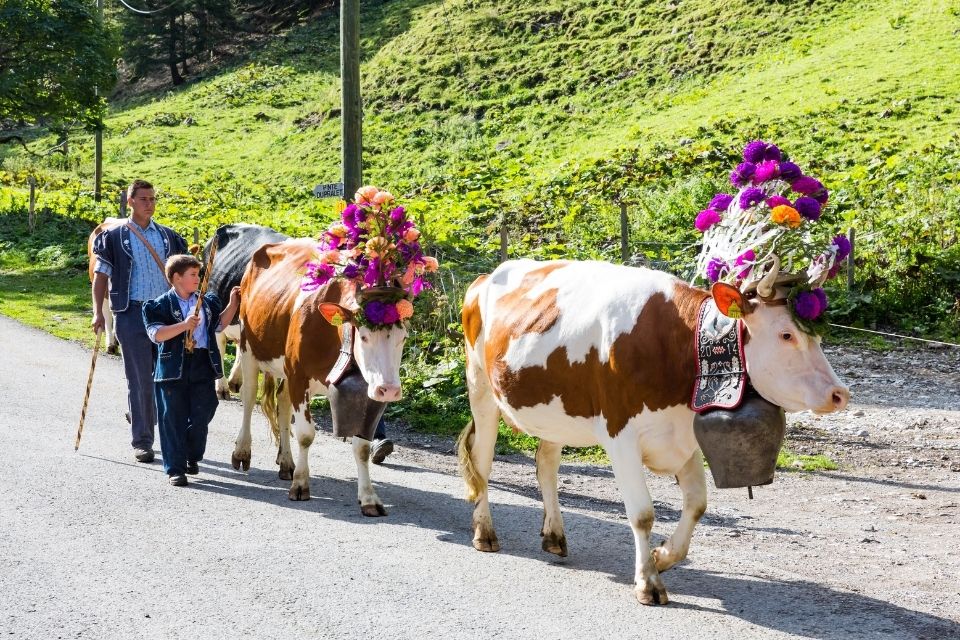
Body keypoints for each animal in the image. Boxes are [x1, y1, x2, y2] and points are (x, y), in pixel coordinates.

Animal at [237, 240, 408, 516]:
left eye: (403, 337)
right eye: (363, 336)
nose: (390, 390)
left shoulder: (366, 391)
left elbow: (362, 448)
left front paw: (369, 497)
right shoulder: (299, 376)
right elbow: (306, 434)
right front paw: (301, 485)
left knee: (282, 404)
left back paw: (286, 462)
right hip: (248, 348)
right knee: (249, 397)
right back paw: (242, 452)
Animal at [460, 258, 848, 604]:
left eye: (816, 336)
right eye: (786, 334)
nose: (840, 394)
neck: (680, 346)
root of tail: (486, 277)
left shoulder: (684, 437)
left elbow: (697, 504)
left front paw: (662, 557)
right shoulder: (621, 437)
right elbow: (643, 513)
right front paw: (648, 582)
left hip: (555, 414)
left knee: (546, 465)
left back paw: (554, 535)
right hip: (481, 388)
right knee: (482, 461)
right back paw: (484, 533)